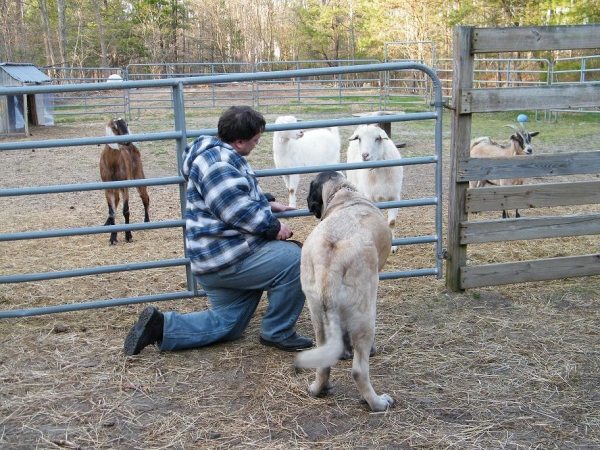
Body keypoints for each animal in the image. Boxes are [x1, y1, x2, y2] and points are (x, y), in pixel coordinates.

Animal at [294, 170, 394, 412]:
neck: (343, 193)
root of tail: (329, 263)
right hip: (366, 312)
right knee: (359, 371)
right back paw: (377, 402)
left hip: (317, 313)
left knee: (323, 363)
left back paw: (319, 389)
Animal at [346, 125, 404, 253]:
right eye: (359, 139)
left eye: (377, 138)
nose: (365, 155)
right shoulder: (370, 197)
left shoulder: (394, 197)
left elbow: (391, 223)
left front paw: (393, 246)